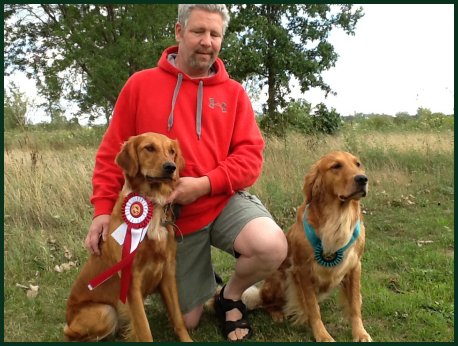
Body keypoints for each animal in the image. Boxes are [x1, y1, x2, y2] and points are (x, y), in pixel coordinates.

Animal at [64, 134, 191, 342]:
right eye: (149, 148)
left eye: (172, 151)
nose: (170, 167)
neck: (152, 203)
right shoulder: (131, 281)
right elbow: (144, 330)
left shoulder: (168, 272)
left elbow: (178, 318)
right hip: (105, 312)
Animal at [243, 152, 372, 344]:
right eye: (336, 166)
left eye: (358, 164)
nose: (363, 179)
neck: (337, 219)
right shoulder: (302, 270)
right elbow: (312, 308)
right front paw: (322, 335)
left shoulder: (355, 266)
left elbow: (355, 303)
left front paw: (360, 333)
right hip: (279, 280)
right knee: (266, 303)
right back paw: (277, 313)